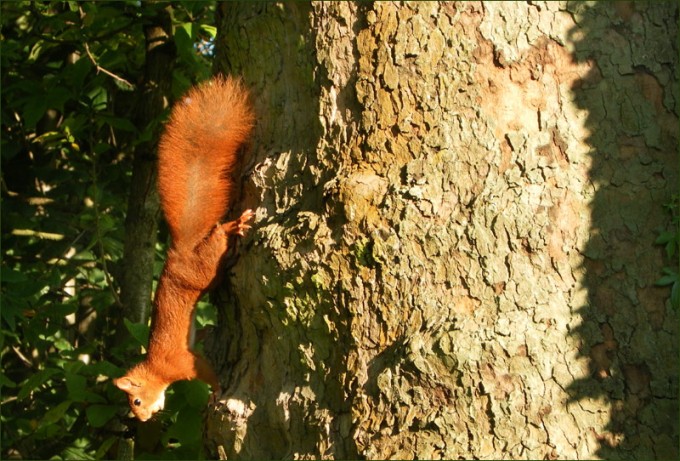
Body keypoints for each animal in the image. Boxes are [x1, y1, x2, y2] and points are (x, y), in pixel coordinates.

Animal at [114, 76, 254, 422]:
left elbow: (206, 372)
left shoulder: (181, 364)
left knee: (217, 242)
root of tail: (181, 252)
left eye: (136, 401)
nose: (144, 419)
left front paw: (217, 390)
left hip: (203, 271)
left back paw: (232, 227)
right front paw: (206, 333)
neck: (155, 368)